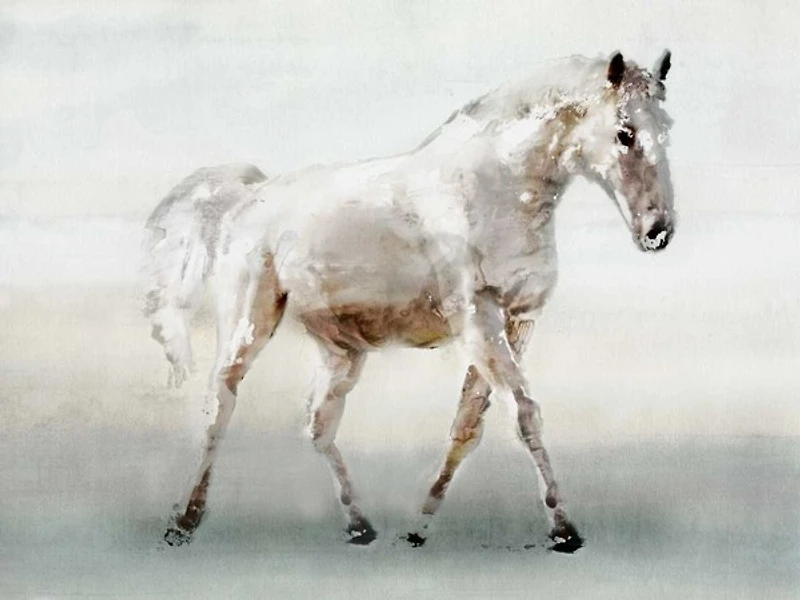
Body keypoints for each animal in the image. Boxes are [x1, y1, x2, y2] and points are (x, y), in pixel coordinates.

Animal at [143, 50, 675, 553]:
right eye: (625, 133)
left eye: (666, 130)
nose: (658, 231)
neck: (495, 186)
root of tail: (249, 196)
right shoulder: (478, 321)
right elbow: (524, 414)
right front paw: (563, 530)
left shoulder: (518, 322)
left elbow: (467, 426)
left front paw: (419, 527)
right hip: (249, 323)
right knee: (220, 404)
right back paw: (185, 520)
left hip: (342, 352)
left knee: (318, 424)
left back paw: (360, 526)